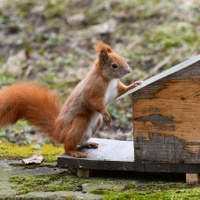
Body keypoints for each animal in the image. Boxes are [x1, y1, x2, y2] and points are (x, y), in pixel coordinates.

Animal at [0, 41, 142, 158]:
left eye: (123, 58)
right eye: (114, 65)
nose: (129, 70)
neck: (108, 79)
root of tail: (58, 131)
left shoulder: (115, 89)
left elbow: (123, 90)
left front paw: (134, 85)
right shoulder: (93, 89)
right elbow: (92, 101)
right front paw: (106, 114)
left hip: (95, 123)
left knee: (80, 142)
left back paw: (88, 144)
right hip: (80, 122)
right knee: (67, 147)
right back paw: (74, 152)